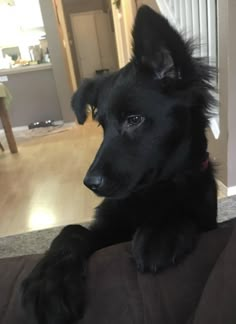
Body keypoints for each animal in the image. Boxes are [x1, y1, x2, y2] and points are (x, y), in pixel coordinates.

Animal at [22, 5, 218, 324]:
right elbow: (71, 231)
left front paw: (162, 230)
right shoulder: (105, 231)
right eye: (102, 125)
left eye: (134, 120)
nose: (90, 183)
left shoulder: (207, 221)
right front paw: (47, 281)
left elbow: (183, 213)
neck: (149, 193)